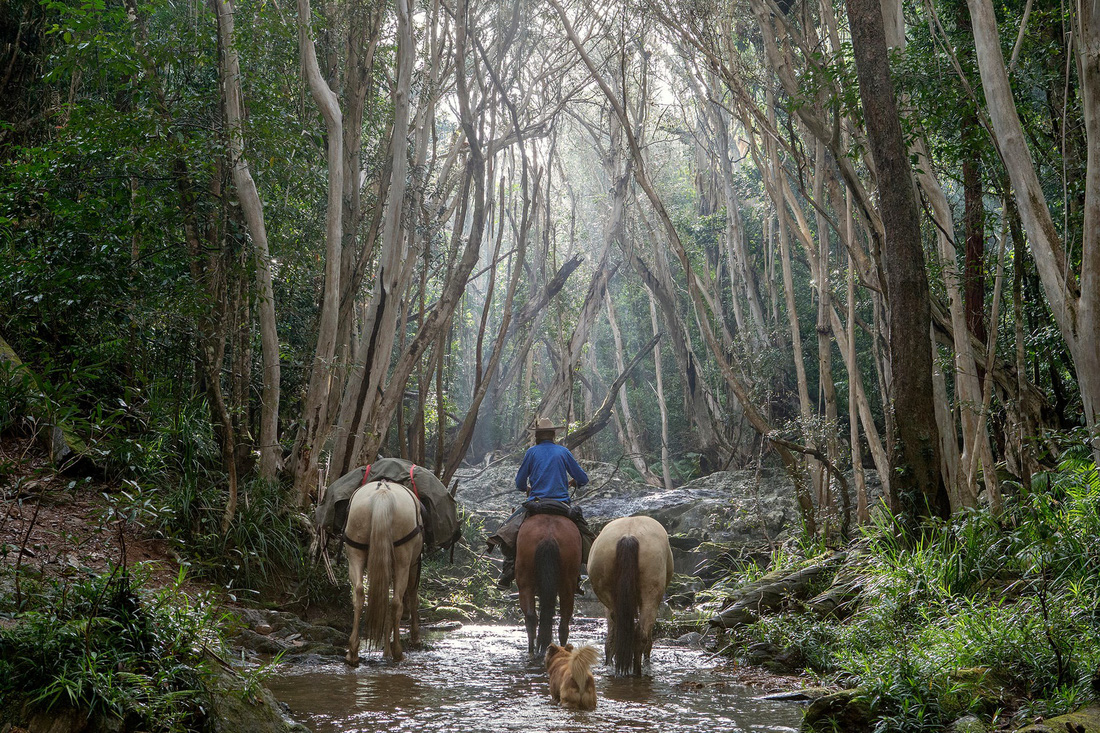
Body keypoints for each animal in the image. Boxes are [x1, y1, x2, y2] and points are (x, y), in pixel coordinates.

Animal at [341, 479, 422, 660]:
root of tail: (382, 494)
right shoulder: (413, 564)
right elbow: (412, 596)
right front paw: (414, 637)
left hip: (355, 551)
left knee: (359, 593)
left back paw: (352, 652)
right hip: (403, 560)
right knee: (396, 602)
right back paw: (398, 651)